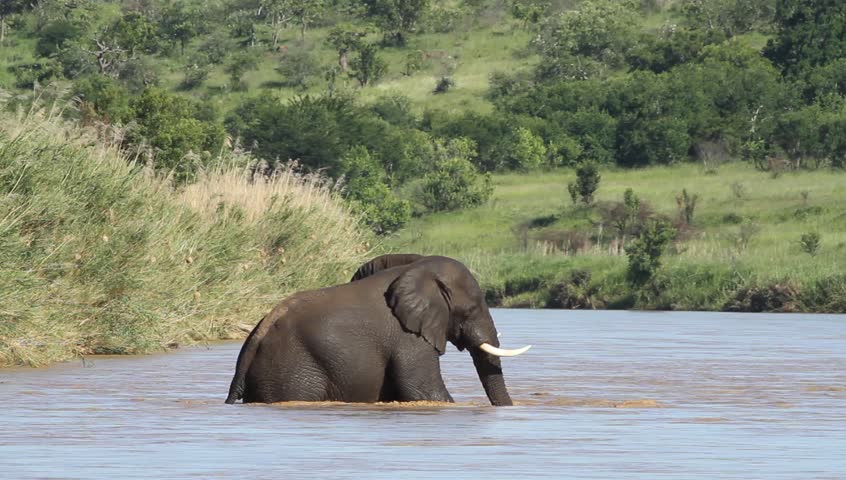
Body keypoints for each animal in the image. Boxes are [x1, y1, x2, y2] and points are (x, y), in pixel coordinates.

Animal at [225, 255, 531, 406]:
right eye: (471, 309)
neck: (417, 269)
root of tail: (254, 339)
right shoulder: (409, 338)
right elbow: (422, 389)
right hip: (291, 372)